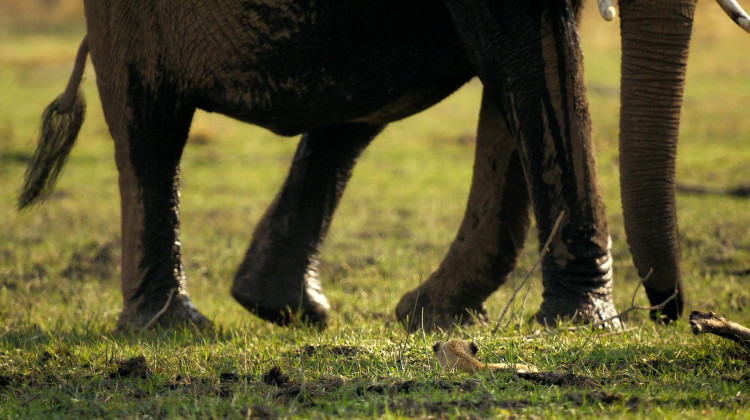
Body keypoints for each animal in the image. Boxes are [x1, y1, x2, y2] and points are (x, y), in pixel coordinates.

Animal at [18, 0, 749, 331]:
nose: (674, 314)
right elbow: (533, 58)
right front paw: (584, 325)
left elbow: (513, 77)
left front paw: (434, 319)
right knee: (151, 131)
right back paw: (177, 327)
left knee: (354, 119)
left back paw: (288, 310)